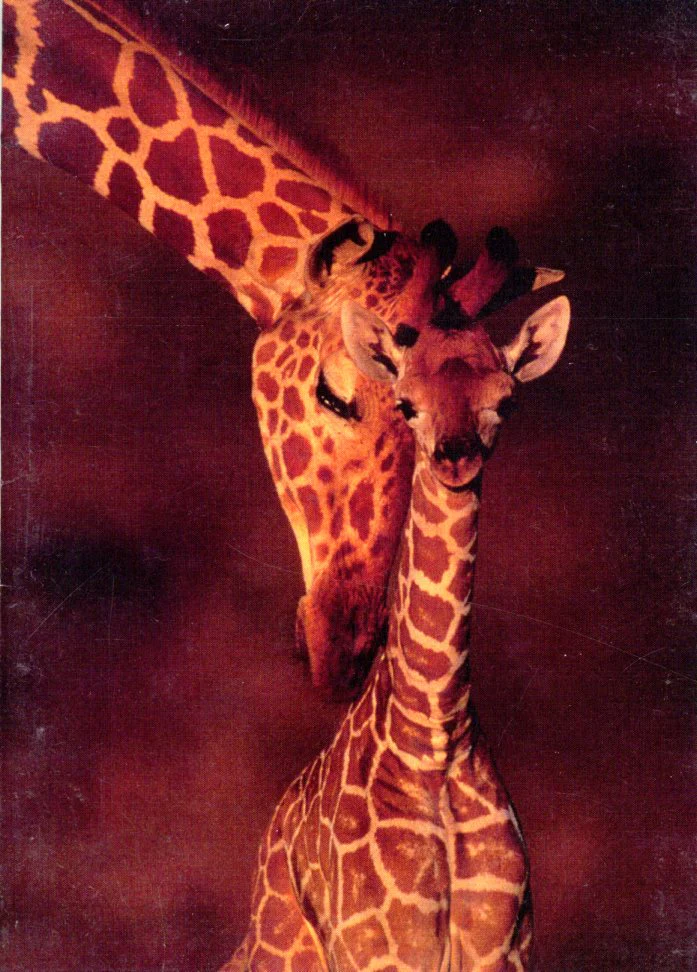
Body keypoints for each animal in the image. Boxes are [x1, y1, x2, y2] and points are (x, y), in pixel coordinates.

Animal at [224, 269, 570, 969]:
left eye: (506, 401)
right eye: (407, 403)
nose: (455, 456)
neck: (435, 739)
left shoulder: (504, 949)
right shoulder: (382, 950)